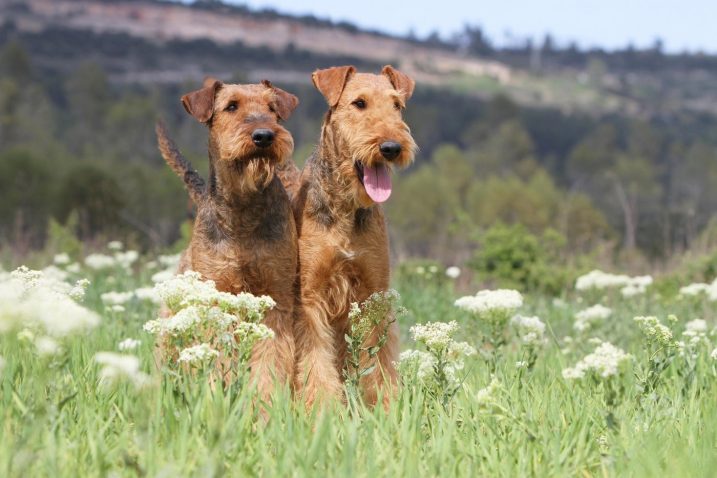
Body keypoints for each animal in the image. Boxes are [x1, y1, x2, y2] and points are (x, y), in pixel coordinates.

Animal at [288, 64, 416, 408]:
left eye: (397, 105)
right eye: (359, 103)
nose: (391, 147)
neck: (346, 207)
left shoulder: (373, 293)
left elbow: (378, 362)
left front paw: (386, 406)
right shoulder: (311, 297)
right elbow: (317, 362)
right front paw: (323, 410)